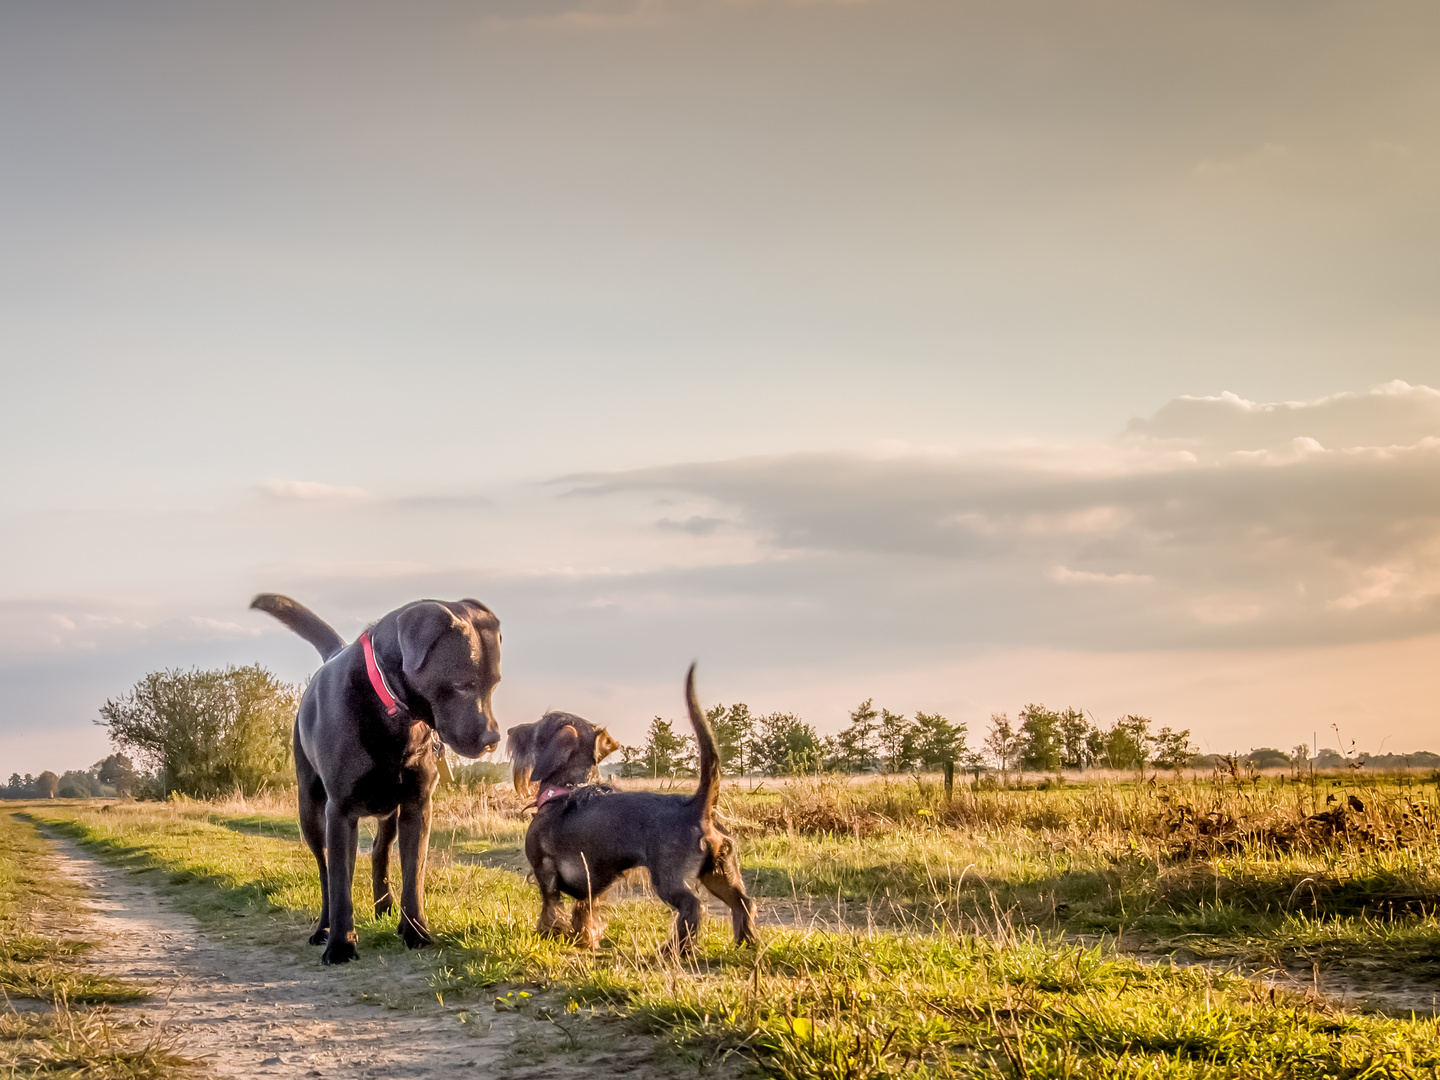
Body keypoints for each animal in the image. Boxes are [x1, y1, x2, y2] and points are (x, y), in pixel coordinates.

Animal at [256, 596, 504, 967]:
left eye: (494, 684)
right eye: (463, 684)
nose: (493, 740)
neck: (394, 713)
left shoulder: (417, 806)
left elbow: (413, 875)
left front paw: (416, 932)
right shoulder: (340, 811)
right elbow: (339, 884)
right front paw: (341, 945)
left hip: (390, 808)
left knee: (377, 851)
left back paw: (383, 906)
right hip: (311, 811)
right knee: (327, 871)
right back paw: (325, 928)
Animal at [509, 668, 760, 956]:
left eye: (539, 726)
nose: (510, 730)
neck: (567, 787)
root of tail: (695, 806)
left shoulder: (544, 869)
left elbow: (550, 907)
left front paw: (547, 934)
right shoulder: (590, 882)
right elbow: (584, 911)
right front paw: (583, 939)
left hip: (670, 877)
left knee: (693, 906)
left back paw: (672, 950)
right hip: (718, 871)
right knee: (743, 903)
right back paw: (746, 942)